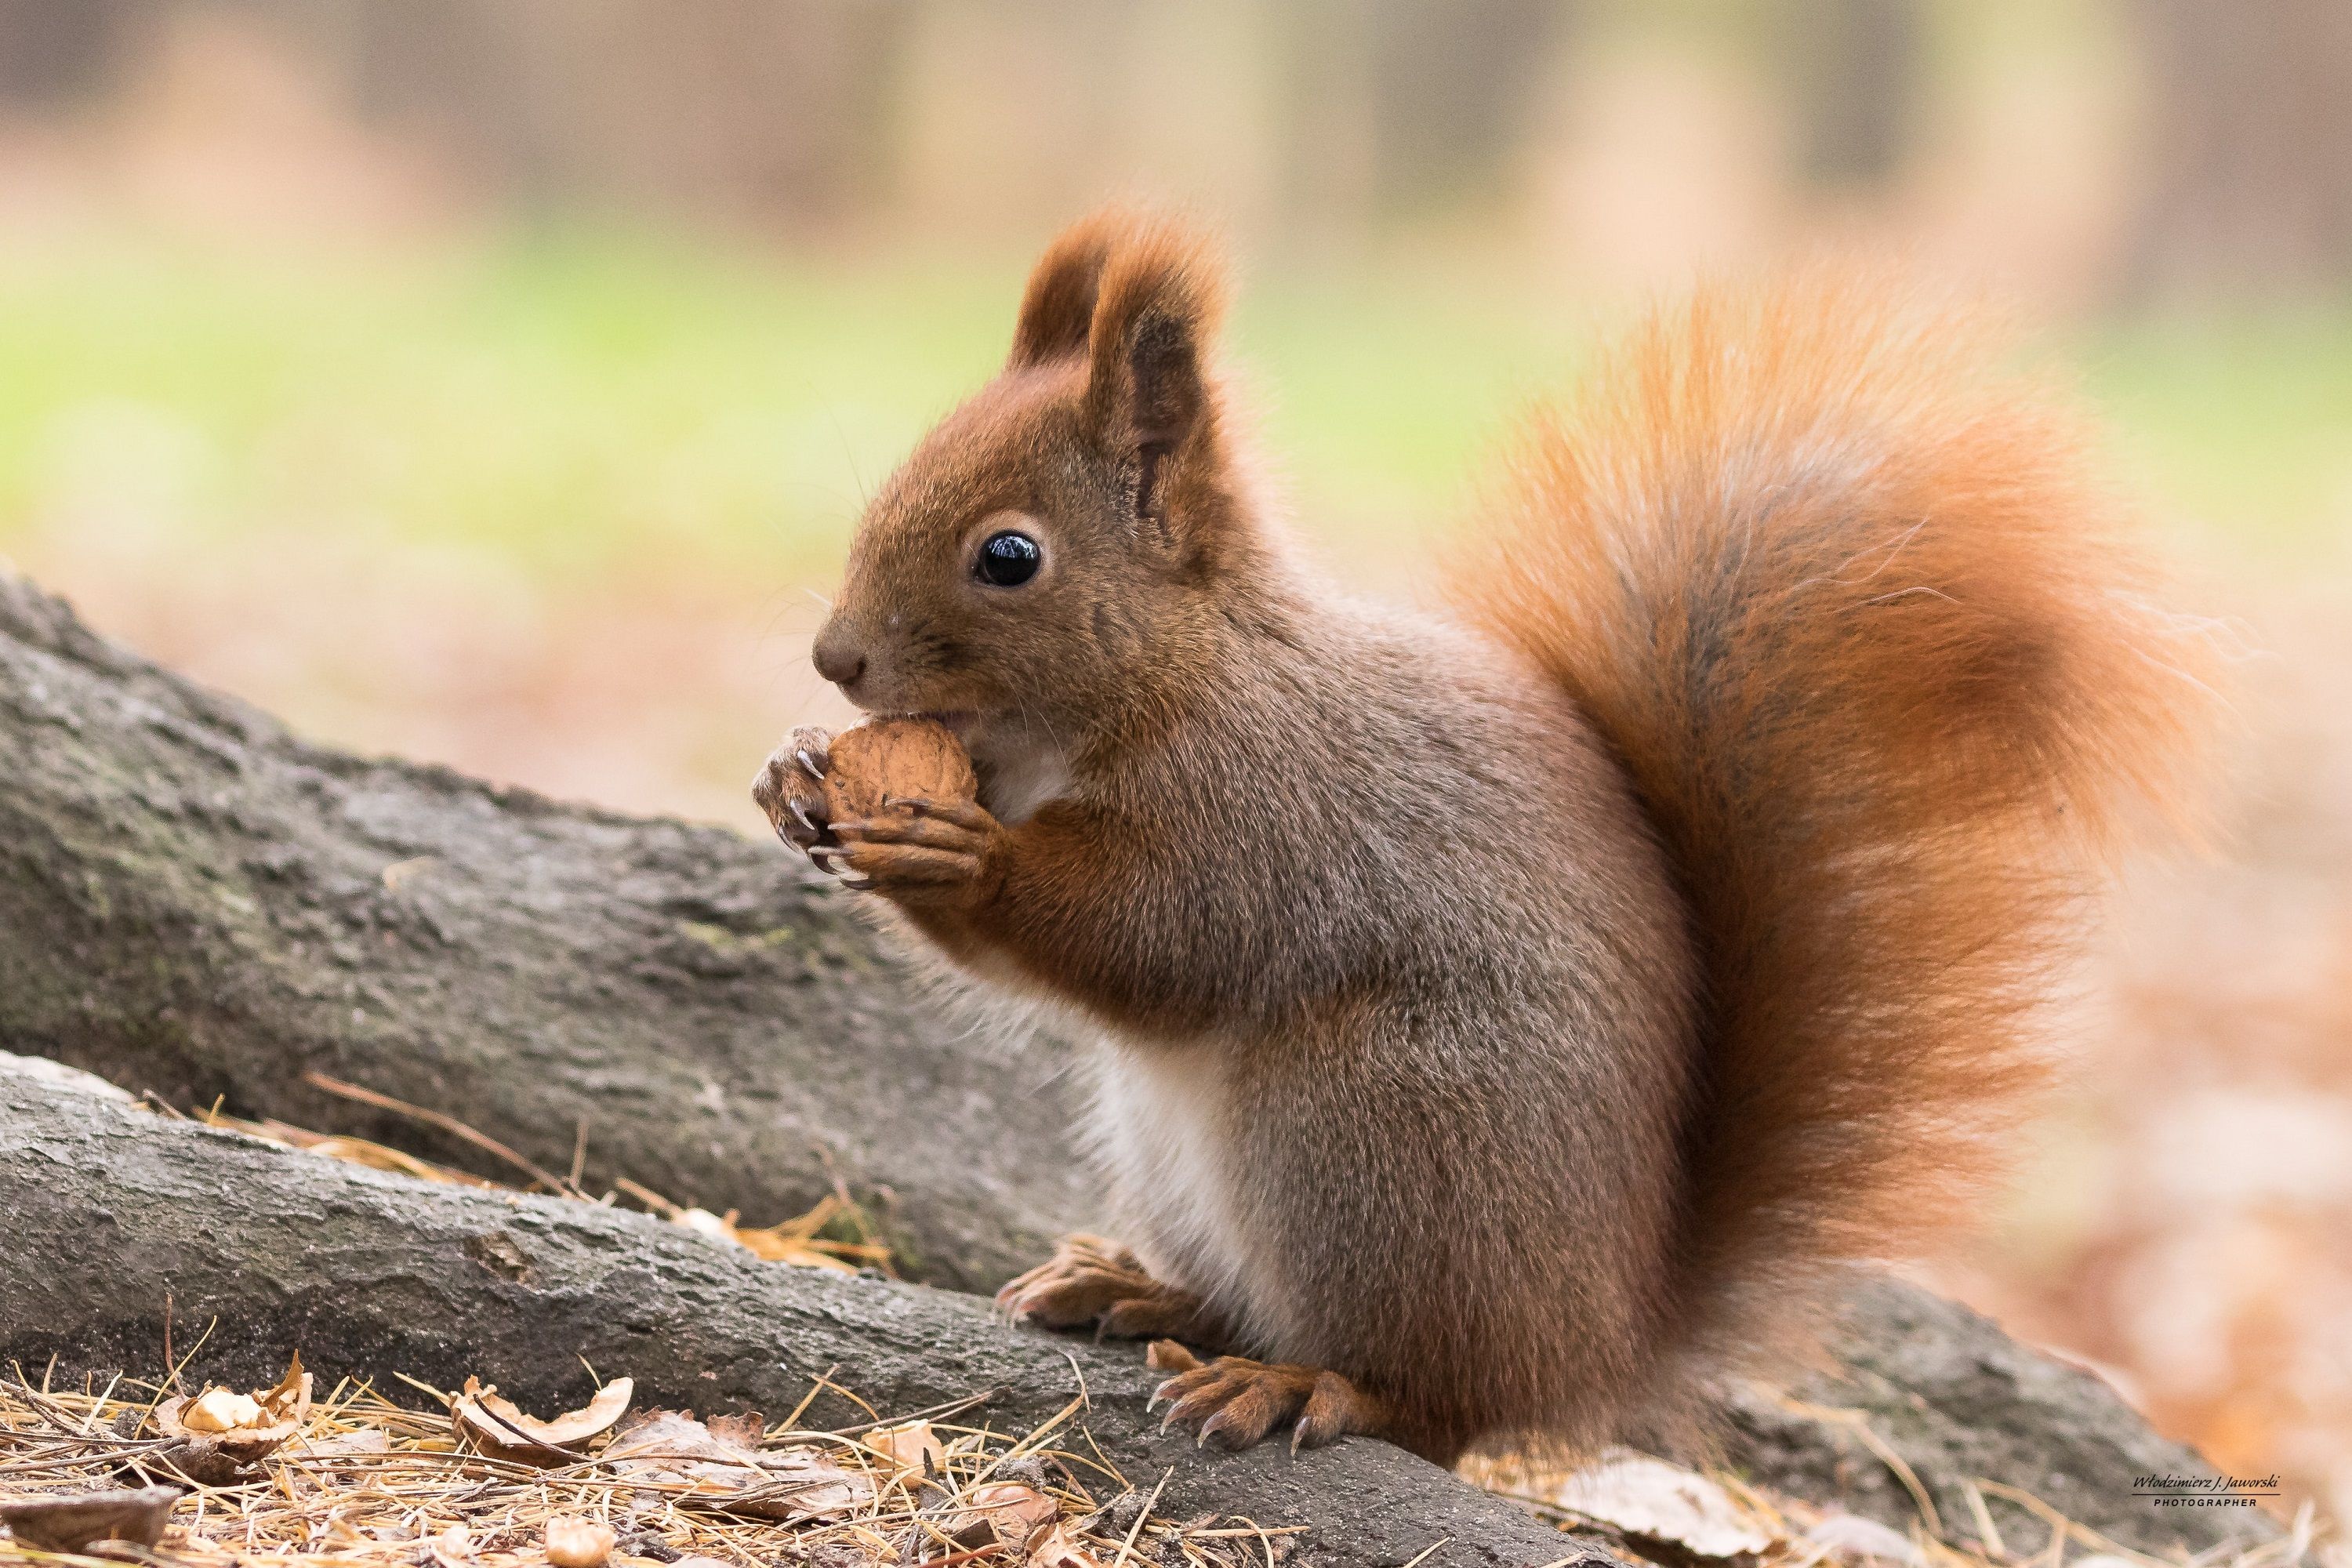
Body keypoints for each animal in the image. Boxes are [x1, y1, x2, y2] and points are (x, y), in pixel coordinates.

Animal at [748, 211, 2201, 1476]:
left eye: (1009, 557)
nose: (834, 660)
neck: (1169, 674)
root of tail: (1595, 1351)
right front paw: (792, 781)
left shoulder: (1265, 808)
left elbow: (1159, 937)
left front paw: (962, 853)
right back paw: (1147, 1295)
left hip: (1372, 1133)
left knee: (1430, 1403)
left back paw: (1301, 1386)